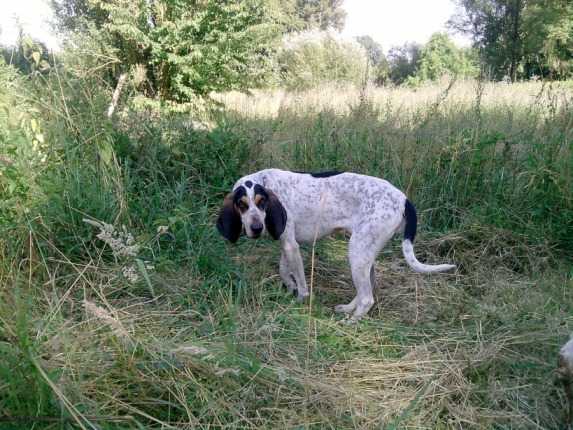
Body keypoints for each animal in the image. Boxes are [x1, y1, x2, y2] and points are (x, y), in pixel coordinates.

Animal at [216, 169, 455, 322]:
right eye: (241, 205)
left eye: (262, 202)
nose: (256, 228)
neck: (265, 181)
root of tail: (403, 198)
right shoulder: (287, 244)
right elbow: (284, 271)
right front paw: (290, 287)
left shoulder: (291, 246)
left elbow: (301, 283)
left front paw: (299, 300)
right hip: (365, 254)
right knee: (367, 288)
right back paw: (348, 309)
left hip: (357, 251)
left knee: (367, 298)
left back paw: (351, 322)